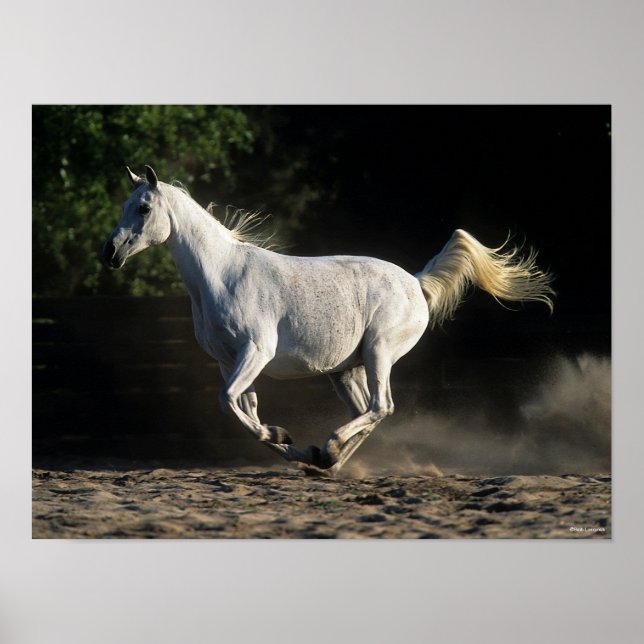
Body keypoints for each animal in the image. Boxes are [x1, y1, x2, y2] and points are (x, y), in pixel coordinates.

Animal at [103, 165, 555, 476]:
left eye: (143, 207)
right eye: (124, 206)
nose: (110, 253)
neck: (223, 273)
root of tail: (416, 281)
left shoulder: (256, 352)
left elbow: (229, 401)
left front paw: (283, 438)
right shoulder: (228, 360)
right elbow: (246, 409)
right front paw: (293, 445)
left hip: (378, 352)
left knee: (381, 405)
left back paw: (331, 448)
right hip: (345, 371)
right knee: (371, 411)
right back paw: (328, 460)